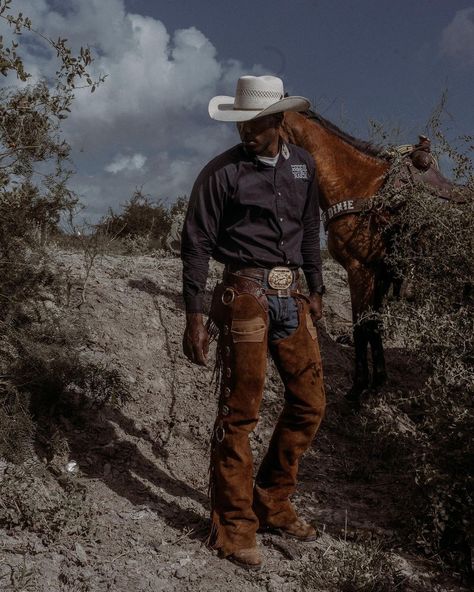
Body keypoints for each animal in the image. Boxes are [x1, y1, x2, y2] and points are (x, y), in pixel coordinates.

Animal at [280, 108, 468, 400]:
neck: (360, 187)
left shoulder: (359, 268)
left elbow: (361, 326)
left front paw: (357, 388)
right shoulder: (380, 273)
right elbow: (375, 325)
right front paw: (378, 379)